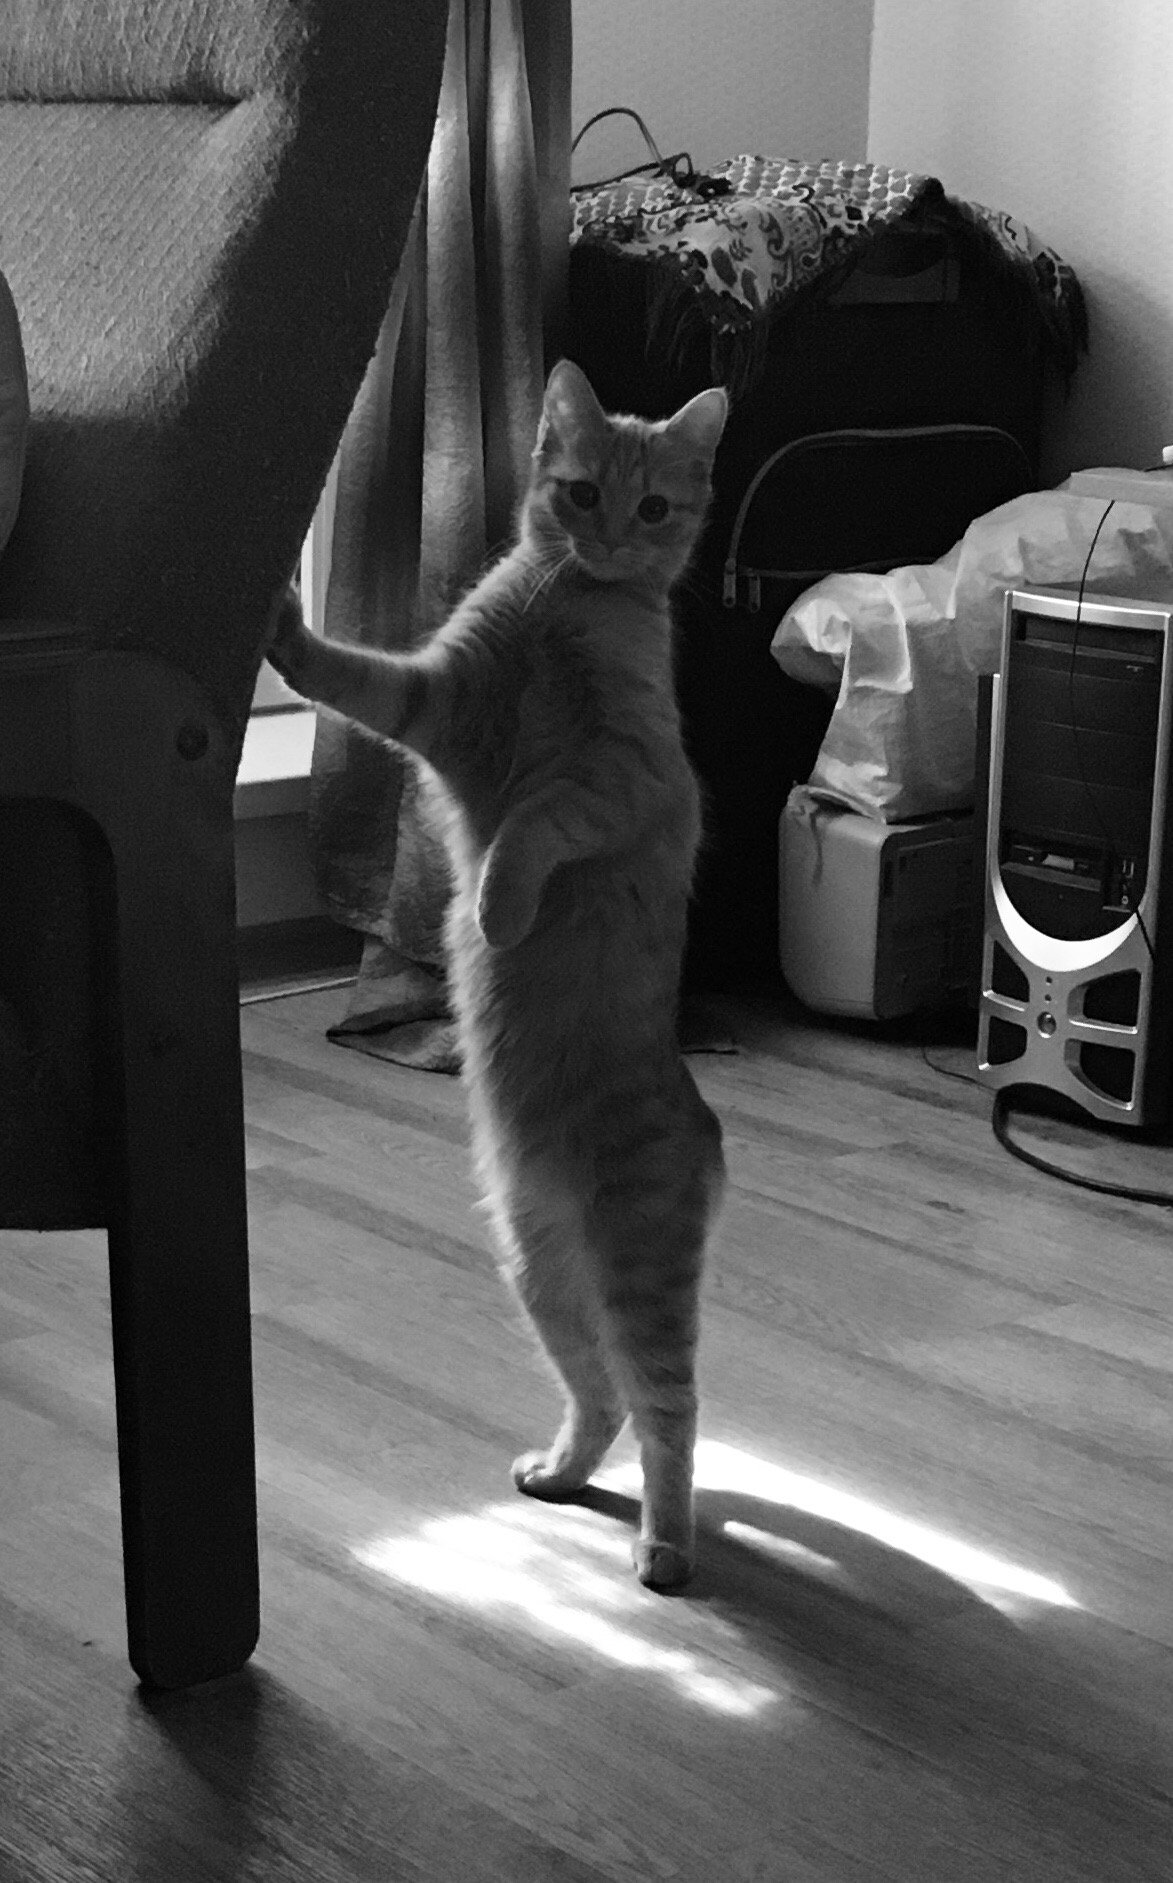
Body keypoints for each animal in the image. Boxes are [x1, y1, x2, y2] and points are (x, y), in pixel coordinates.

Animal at [266, 357, 728, 1588]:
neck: (569, 609)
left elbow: (532, 825)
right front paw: (279, 621)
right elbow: (345, 671)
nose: (609, 539)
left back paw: (665, 1547)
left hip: (637, 1274)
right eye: (580, 492)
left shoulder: (624, 773)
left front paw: (495, 910)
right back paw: (562, 1475)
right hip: (540, 1271)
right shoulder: (432, 695)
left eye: (652, 506)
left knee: (672, 1412)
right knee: (602, 1397)